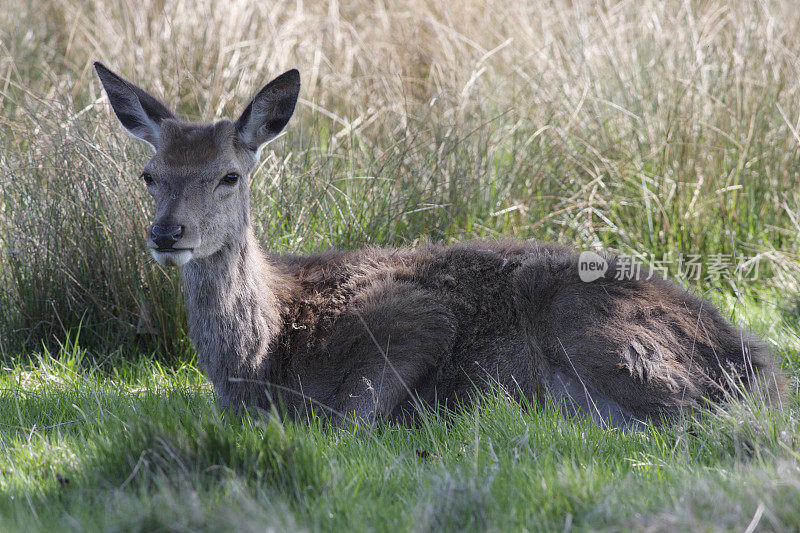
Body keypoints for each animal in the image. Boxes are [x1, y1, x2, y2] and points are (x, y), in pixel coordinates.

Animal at [92, 62, 780, 428]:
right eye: (149, 174)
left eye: (228, 175)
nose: (167, 233)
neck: (262, 359)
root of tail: (755, 358)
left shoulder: (411, 314)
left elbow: (349, 418)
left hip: (600, 331)